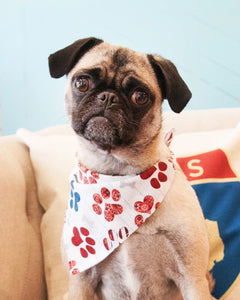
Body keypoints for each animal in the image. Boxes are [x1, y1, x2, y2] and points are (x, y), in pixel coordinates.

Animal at [47, 38, 215, 300]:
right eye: (82, 83)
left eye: (140, 96)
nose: (108, 97)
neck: (117, 176)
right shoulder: (80, 283)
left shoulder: (192, 279)